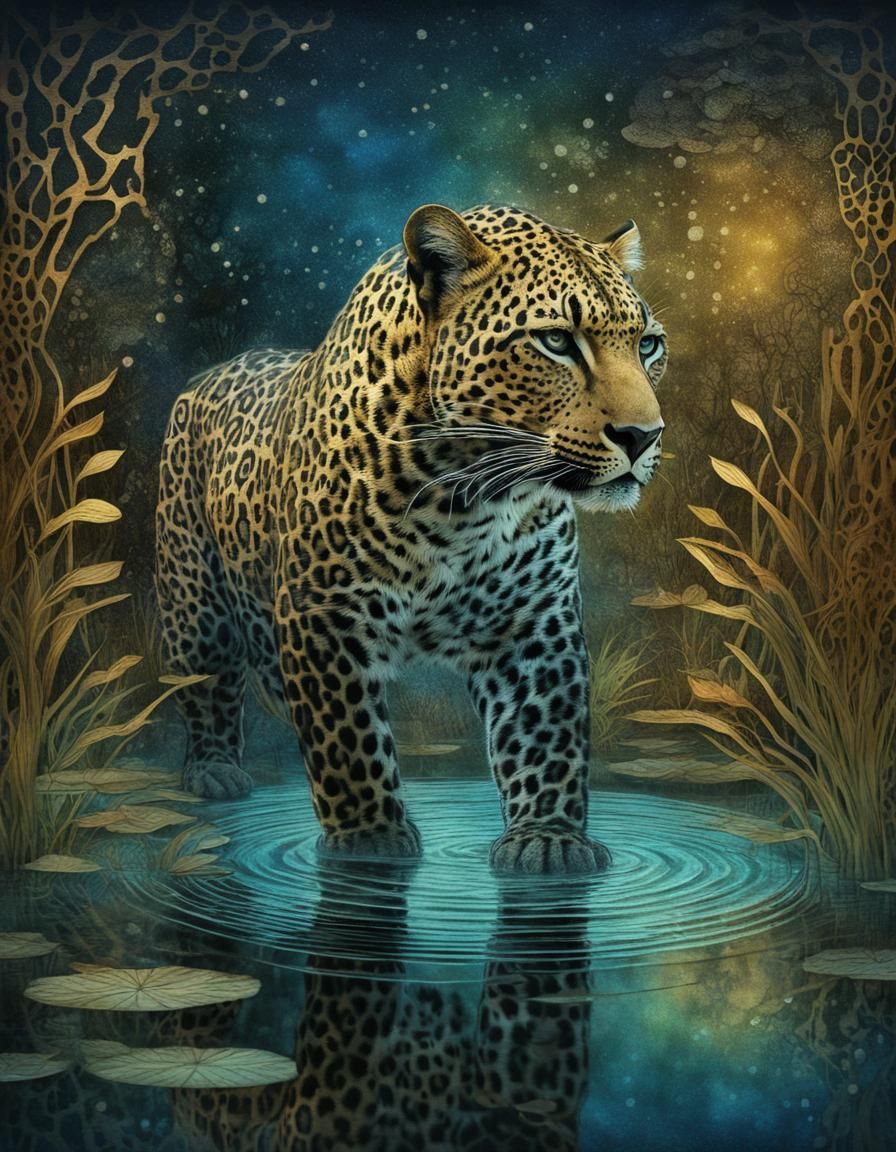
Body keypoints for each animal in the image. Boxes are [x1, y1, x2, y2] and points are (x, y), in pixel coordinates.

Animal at [156, 203, 667, 875]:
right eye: (557, 341)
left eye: (647, 345)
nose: (644, 436)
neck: (466, 498)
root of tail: (216, 371)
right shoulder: (323, 618)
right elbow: (348, 748)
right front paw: (369, 841)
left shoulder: (534, 626)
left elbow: (546, 740)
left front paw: (548, 838)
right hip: (194, 601)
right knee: (207, 680)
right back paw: (214, 771)